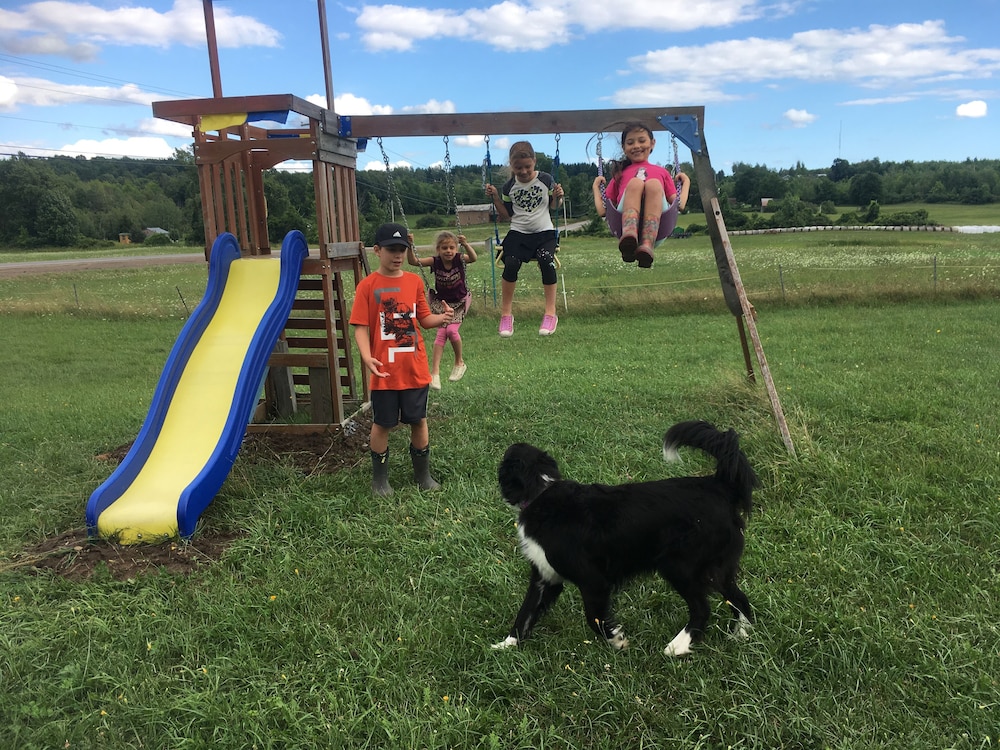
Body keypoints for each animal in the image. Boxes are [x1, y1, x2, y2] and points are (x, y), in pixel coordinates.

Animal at [492, 424, 756, 656]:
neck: (541, 492)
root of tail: (720, 485)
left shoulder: (593, 581)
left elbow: (594, 617)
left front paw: (617, 639)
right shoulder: (545, 577)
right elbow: (525, 613)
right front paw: (506, 645)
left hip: (679, 565)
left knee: (703, 608)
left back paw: (677, 646)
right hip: (715, 569)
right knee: (739, 599)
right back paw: (741, 636)